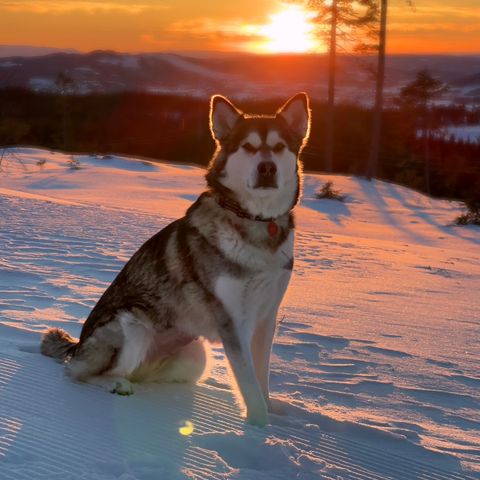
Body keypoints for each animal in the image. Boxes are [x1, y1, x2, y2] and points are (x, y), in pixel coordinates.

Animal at [40, 92, 312, 426]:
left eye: (279, 147)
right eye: (248, 147)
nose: (266, 168)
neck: (257, 222)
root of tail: (77, 345)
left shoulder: (266, 316)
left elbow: (262, 378)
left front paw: (274, 413)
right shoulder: (233, 322)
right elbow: (249, 385)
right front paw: (260, 430)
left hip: (196, 354)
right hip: (131, 325)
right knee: (78, 373)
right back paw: (115, 384)